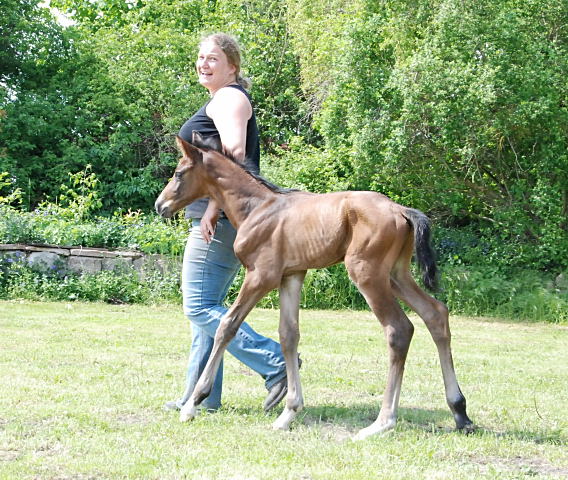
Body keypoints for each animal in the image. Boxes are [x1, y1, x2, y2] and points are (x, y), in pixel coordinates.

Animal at [155, 133, 474, 440]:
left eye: (179, 173)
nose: (160, 205)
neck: (256, 209)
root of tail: (401, 209)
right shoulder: (292, 275)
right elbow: (289, 334)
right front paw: (289, 413)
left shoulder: (260, 276)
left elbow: (227, 326)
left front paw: (193, 403)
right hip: (395, 275)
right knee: (435, 313)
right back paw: (460, 413)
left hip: (367, 274)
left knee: (399, 329)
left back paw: (383, 422)